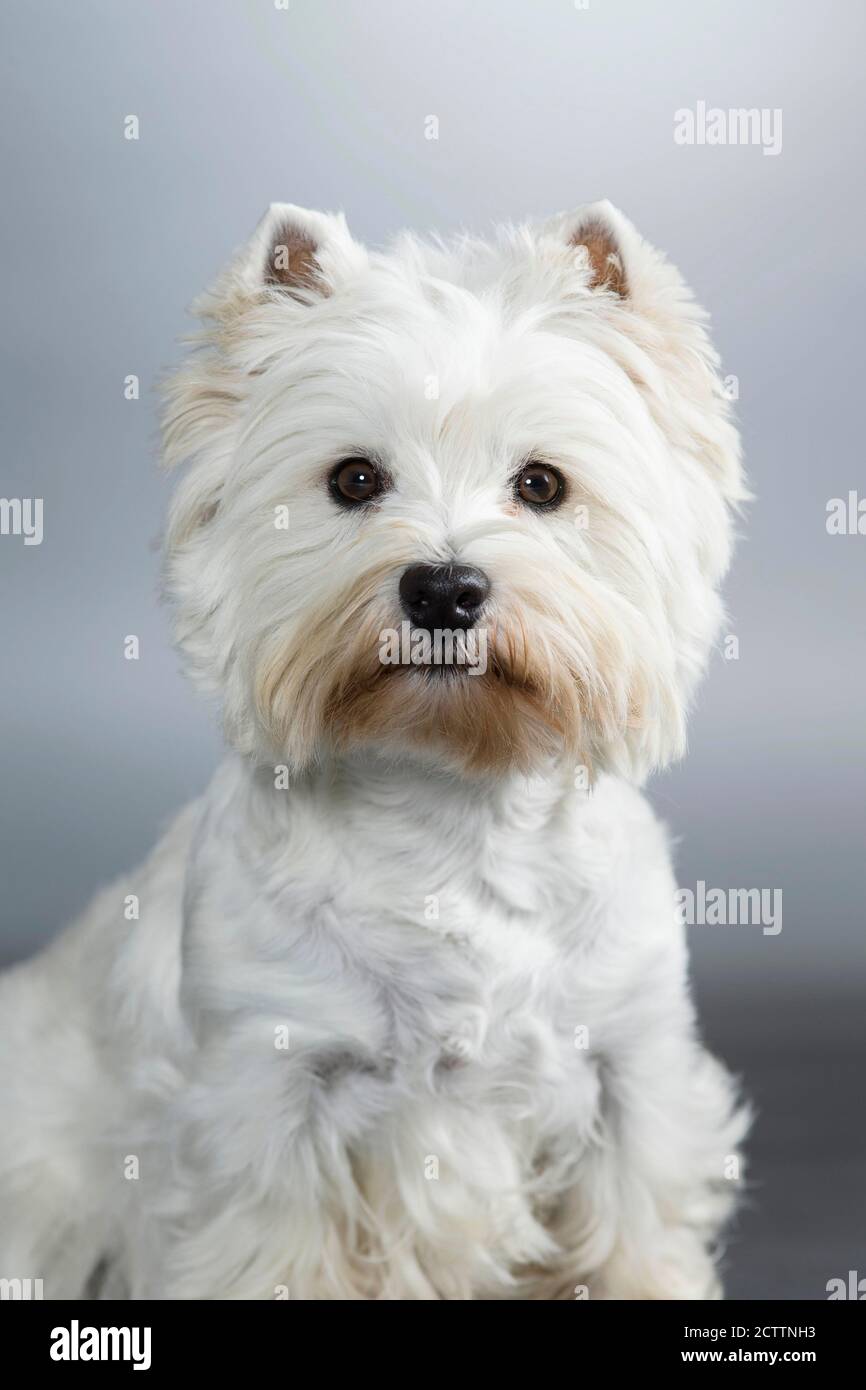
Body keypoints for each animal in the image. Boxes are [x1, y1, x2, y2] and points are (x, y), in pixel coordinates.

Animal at [0, 201, 750, 1295]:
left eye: (542, 484)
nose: (443, 589)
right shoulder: (266, 1088)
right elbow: (272, 1252)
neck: (452, 811)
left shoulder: (629, 1068)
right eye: (354, 478)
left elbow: (632, 1237)